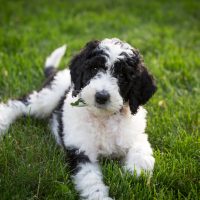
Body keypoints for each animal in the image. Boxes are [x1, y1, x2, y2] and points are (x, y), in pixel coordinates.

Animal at [0, 38, 156, 199]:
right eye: (94, 68)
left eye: (122, 76)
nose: (101, 96)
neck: (103, 118)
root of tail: (58, 72)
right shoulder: (81, 153)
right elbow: (91, 181)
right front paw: (100, 195)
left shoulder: (135, 133)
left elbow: (140, 149)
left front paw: (135, 172)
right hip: (46, 98)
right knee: (17, 104)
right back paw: (3, 122)